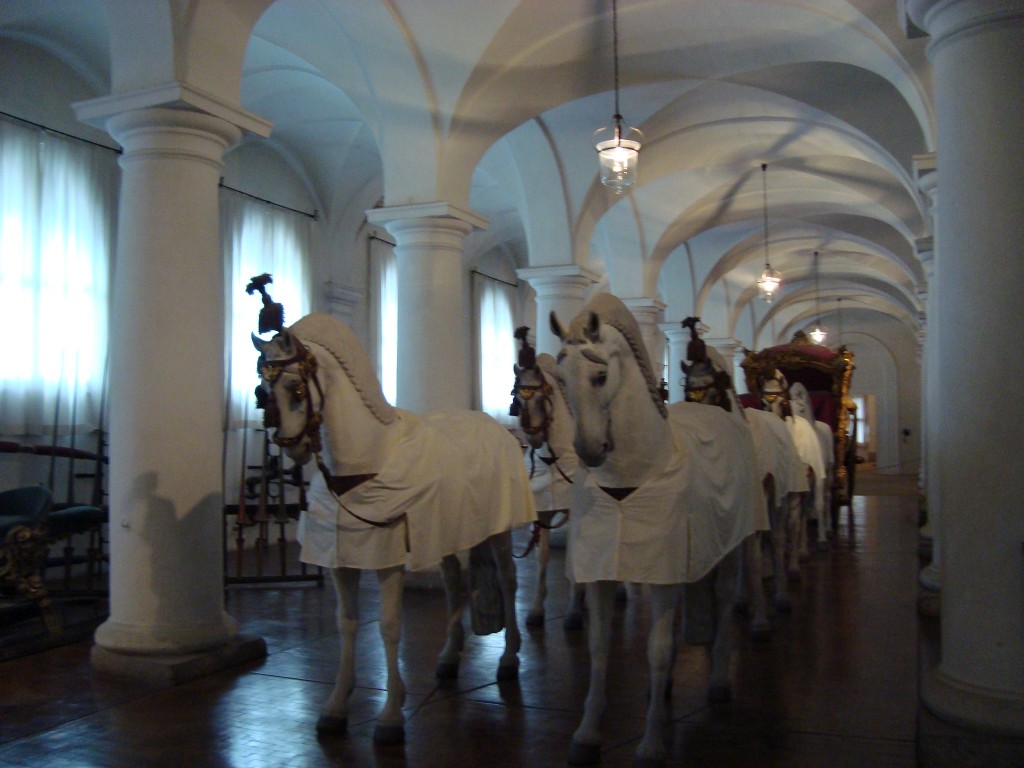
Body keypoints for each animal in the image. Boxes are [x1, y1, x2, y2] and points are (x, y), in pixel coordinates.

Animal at [251, 312, 536, 745]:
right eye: (261, 390)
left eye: (295, 387)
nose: (292, 447)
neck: (366, 463)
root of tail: (496, 427)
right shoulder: (342, 561)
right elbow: (347, 624)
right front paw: (336, 706)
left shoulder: (386, 560)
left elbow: (388, 627)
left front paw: (390, 716)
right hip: (445, 531)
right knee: (454, 583)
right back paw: (449, 657)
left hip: (498, 530)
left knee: (507, 581)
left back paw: (508, 658)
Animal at [510, 329, 585, 630]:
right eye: (517, 400)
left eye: (542, 398)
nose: (533, 438)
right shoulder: (542, 510)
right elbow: (541, 556)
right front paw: (535, 610)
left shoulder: (577, 511)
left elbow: (575, 554)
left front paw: (575, 610)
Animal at [552, 294, 763, 767]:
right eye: (560, 378)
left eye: (600, 375)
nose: (589, 450)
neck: (636, 471)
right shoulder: (605, 572)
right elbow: (598, 645)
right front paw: (587, 733)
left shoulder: (663, 573)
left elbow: (659, 649)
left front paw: (651, 745)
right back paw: (661, 689)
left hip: (730, 549)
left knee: (724, 605)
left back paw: (719, 679)